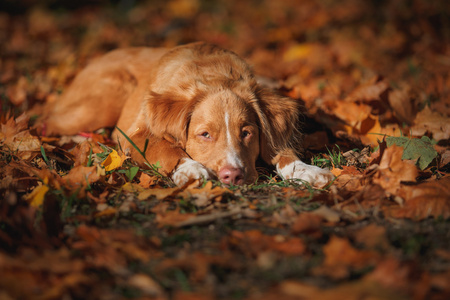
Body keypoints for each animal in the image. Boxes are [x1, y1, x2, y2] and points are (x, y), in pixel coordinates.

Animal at [43, 41, 334, 188]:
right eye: (204, 134)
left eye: (247, 133)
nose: (233, 176)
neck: (214, 74)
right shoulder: (133, 134)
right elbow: (165, 148)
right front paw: (191, 168)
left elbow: (282, 150)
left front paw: (306, 170)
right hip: (104, 98)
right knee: (50, 121)